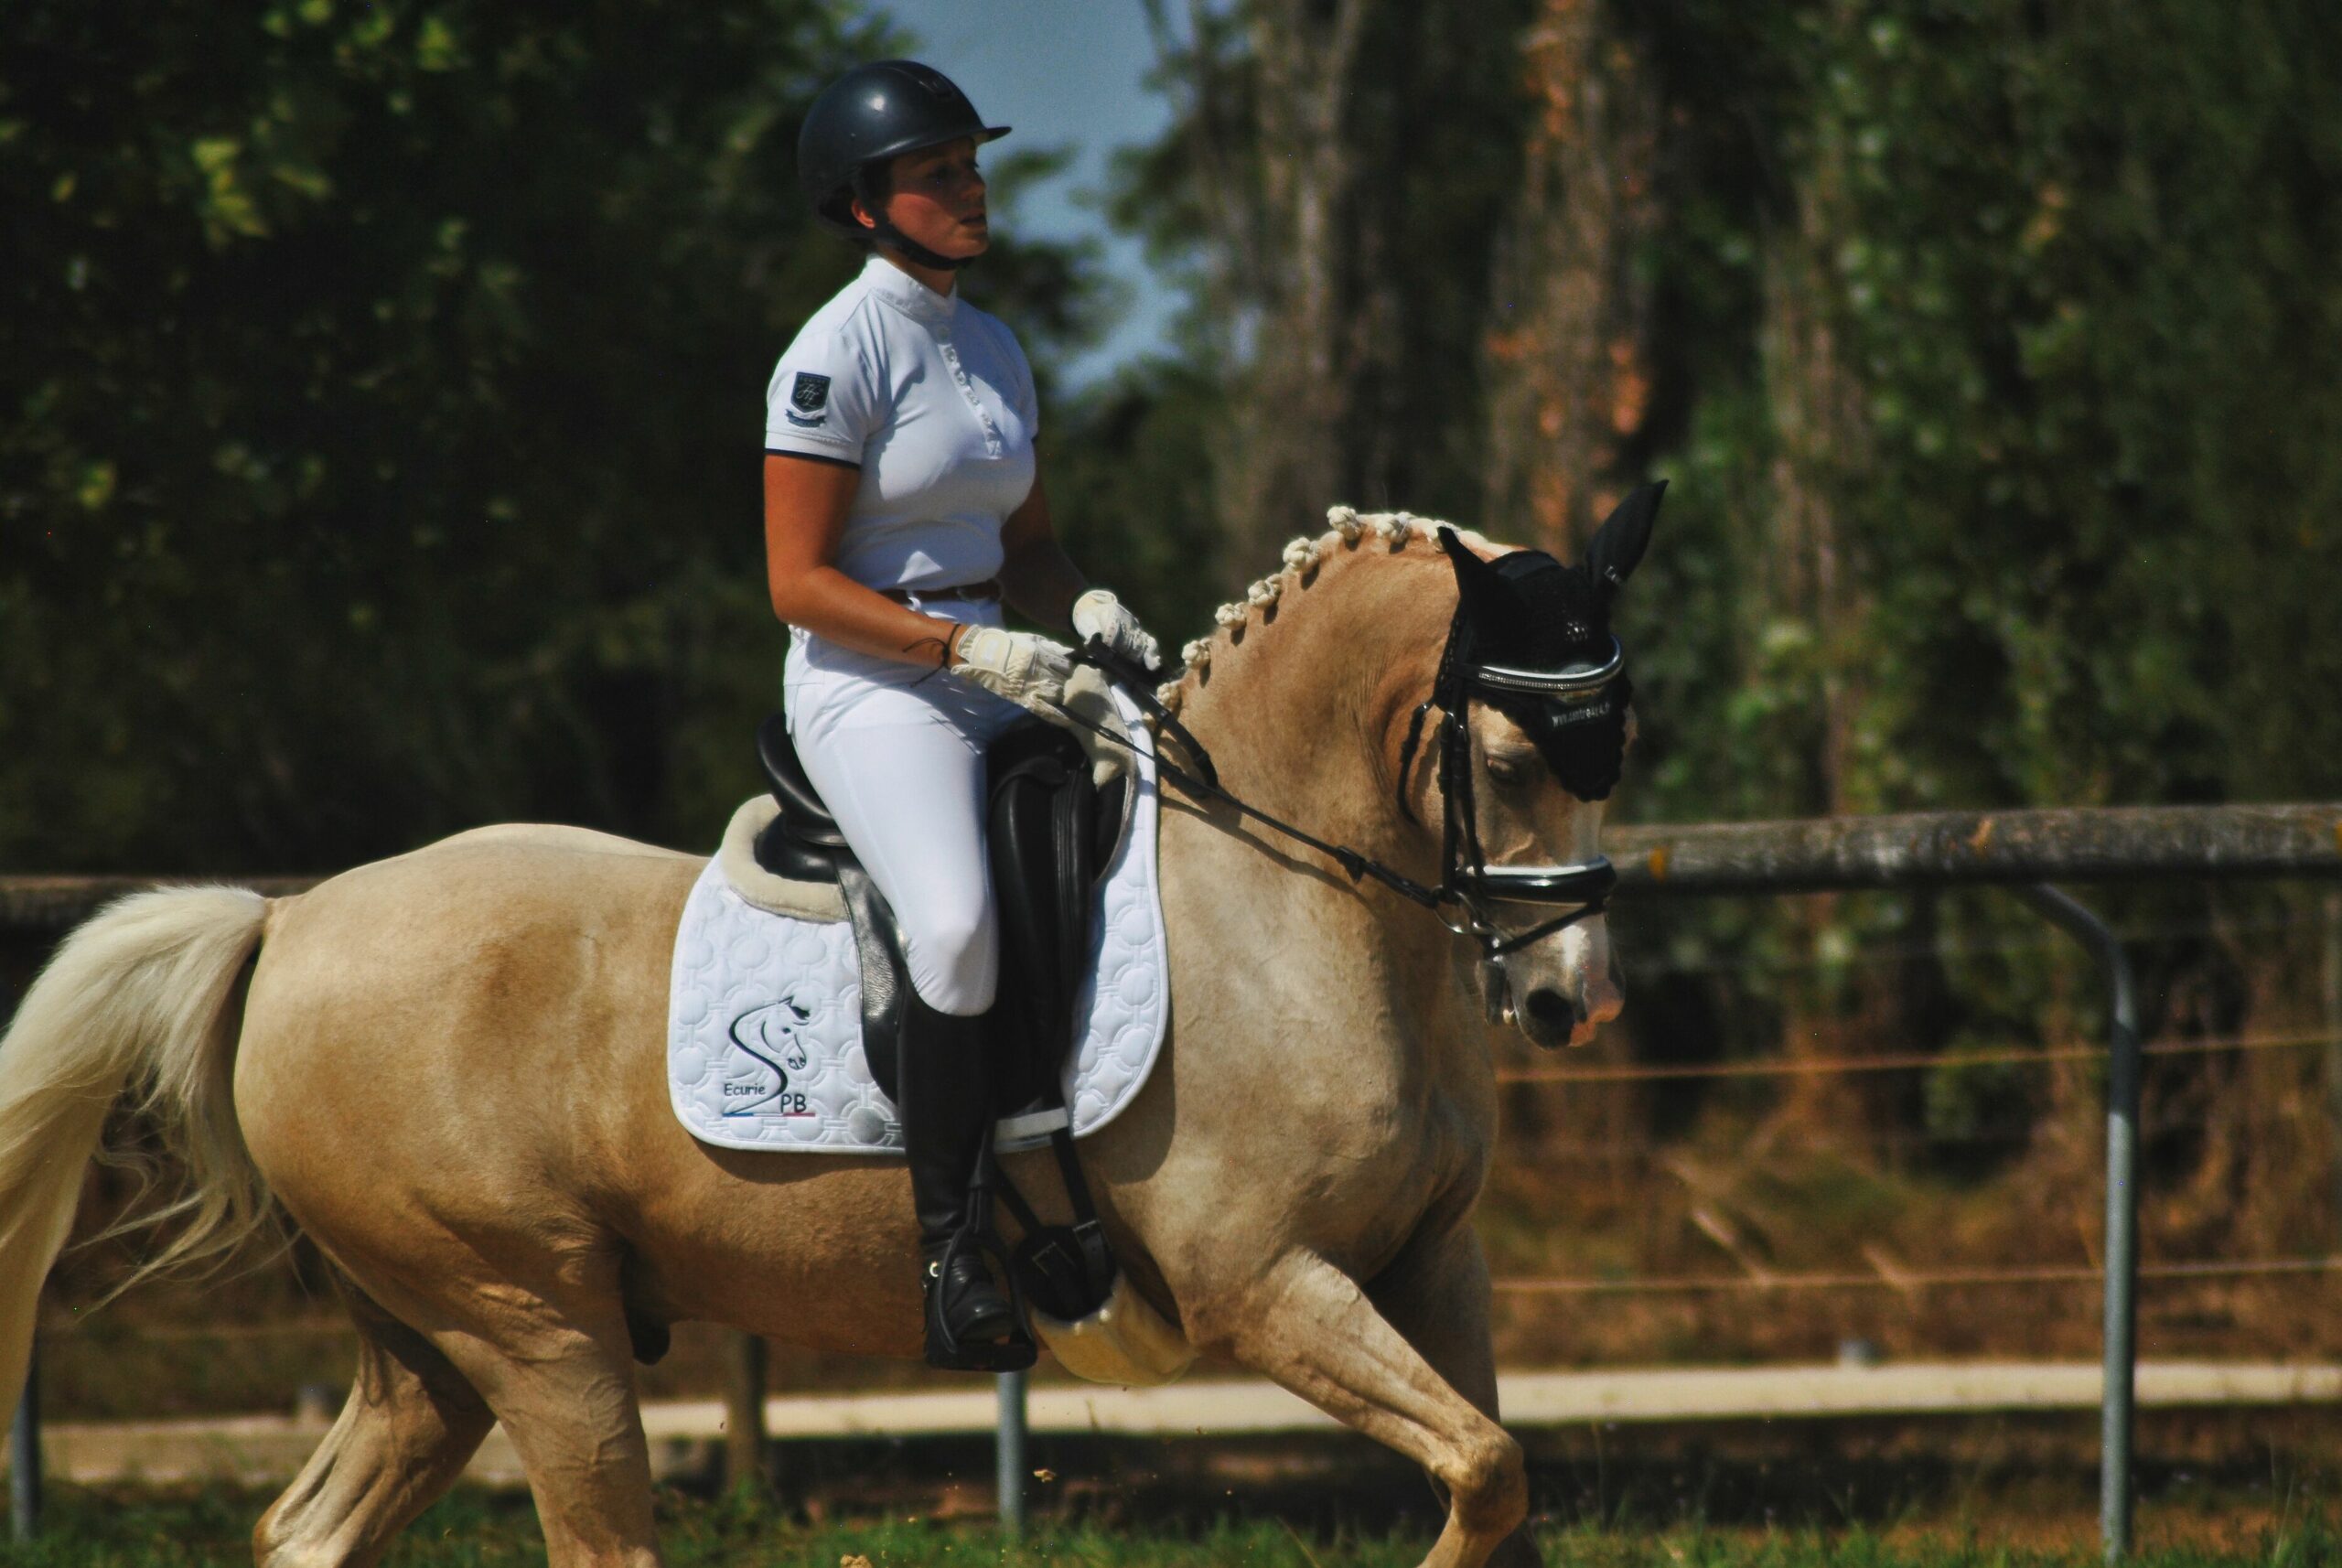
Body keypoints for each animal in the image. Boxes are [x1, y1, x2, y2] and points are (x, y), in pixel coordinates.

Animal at [0, 508, 1658, 1568]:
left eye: (1619, 752)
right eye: (1511, 758)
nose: (1572, 999)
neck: (1285, 897)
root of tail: (288, 925)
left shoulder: (1431, 1265)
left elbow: (1500, 1476)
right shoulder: (1271, 1287)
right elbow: (1486, 1466)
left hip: (432, 1353)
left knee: (308, 1530)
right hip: (534, 1325)